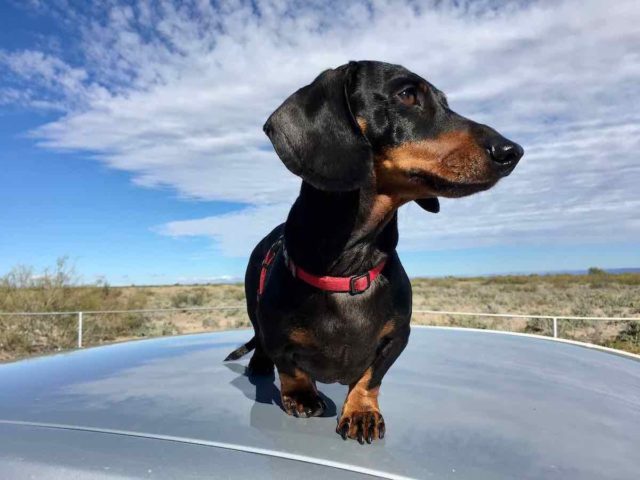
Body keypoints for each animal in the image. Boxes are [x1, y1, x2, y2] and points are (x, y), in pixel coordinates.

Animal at [225, 61, 520, 446]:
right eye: (407, 94)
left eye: (445, 102)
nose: (512, 151)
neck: (349, 268)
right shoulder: (274, 329)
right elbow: (289, 367)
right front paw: (302, 396)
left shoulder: (398, 337)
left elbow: (371, 376)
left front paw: (361, 410)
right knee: (261, 344)